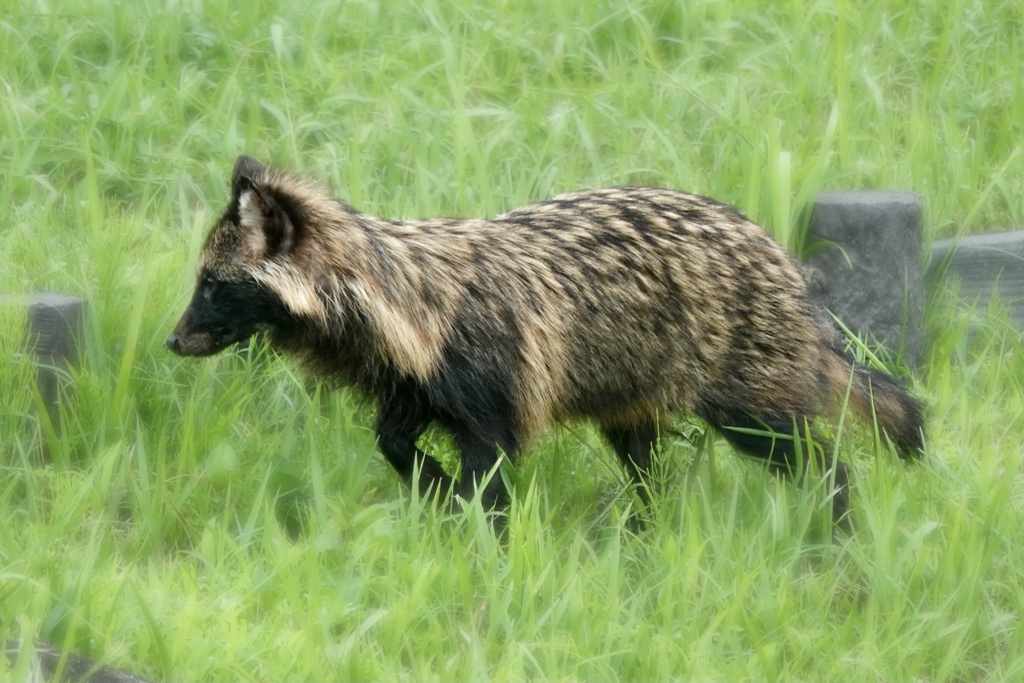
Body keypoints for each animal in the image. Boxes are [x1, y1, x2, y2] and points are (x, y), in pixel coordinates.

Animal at [165, 156, 921, 528]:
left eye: (212, 284)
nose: (172, 341)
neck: (397, 290)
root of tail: (782, 263)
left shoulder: (494, 397)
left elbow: (490, 481)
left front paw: (480, 536)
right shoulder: (415, 384)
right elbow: (393, 441)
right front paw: (436, 491)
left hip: (746, 396)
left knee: (826, 463)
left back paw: (839, 528)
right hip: (631, 394)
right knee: (648, 474)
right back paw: (647, 535)